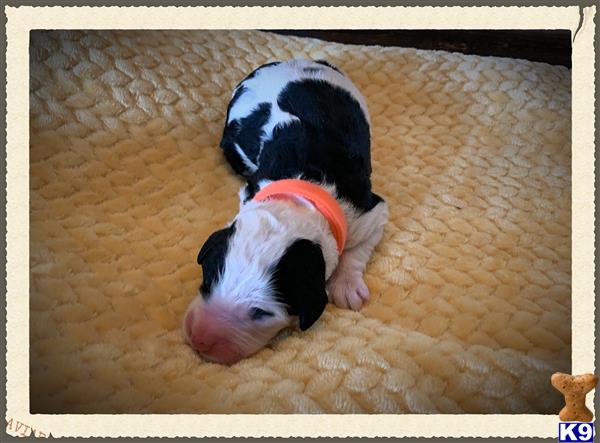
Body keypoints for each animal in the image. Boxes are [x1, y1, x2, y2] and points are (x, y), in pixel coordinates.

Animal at [183, 58, 390, 364]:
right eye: (208, 278)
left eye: (261, 313)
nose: (199, 341)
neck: (302, 195)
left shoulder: (370, 212)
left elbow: (357, 249)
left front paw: (346, 287)